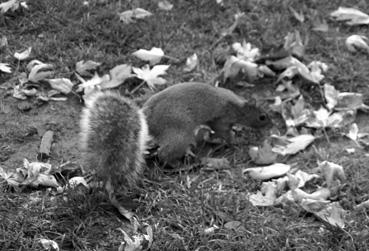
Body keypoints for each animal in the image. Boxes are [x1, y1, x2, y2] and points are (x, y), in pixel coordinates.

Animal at [80, 81, 270, 219]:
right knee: (165, 155)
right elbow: (224, 132)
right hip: (180, 135)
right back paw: (183, 165)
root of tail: (147, 119)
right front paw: (236, 140)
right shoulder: (221, 119)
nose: (271, 124)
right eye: (262, 117)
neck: (236, 105)